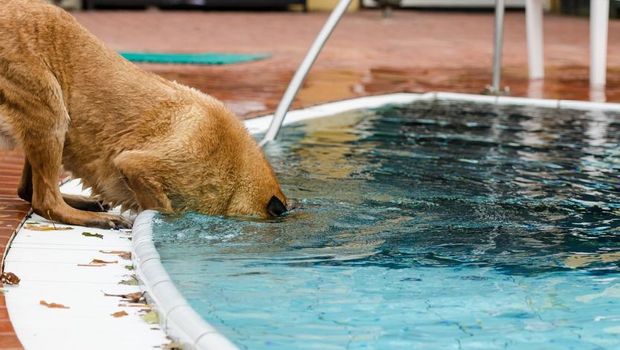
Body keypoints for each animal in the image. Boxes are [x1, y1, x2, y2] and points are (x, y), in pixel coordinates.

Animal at [0, 0, 288, 230]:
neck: (237, 173)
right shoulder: (136, 165)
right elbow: (163, 208)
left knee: (28, 191)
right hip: (52, 112)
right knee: (44, 200)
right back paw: (94, 218)